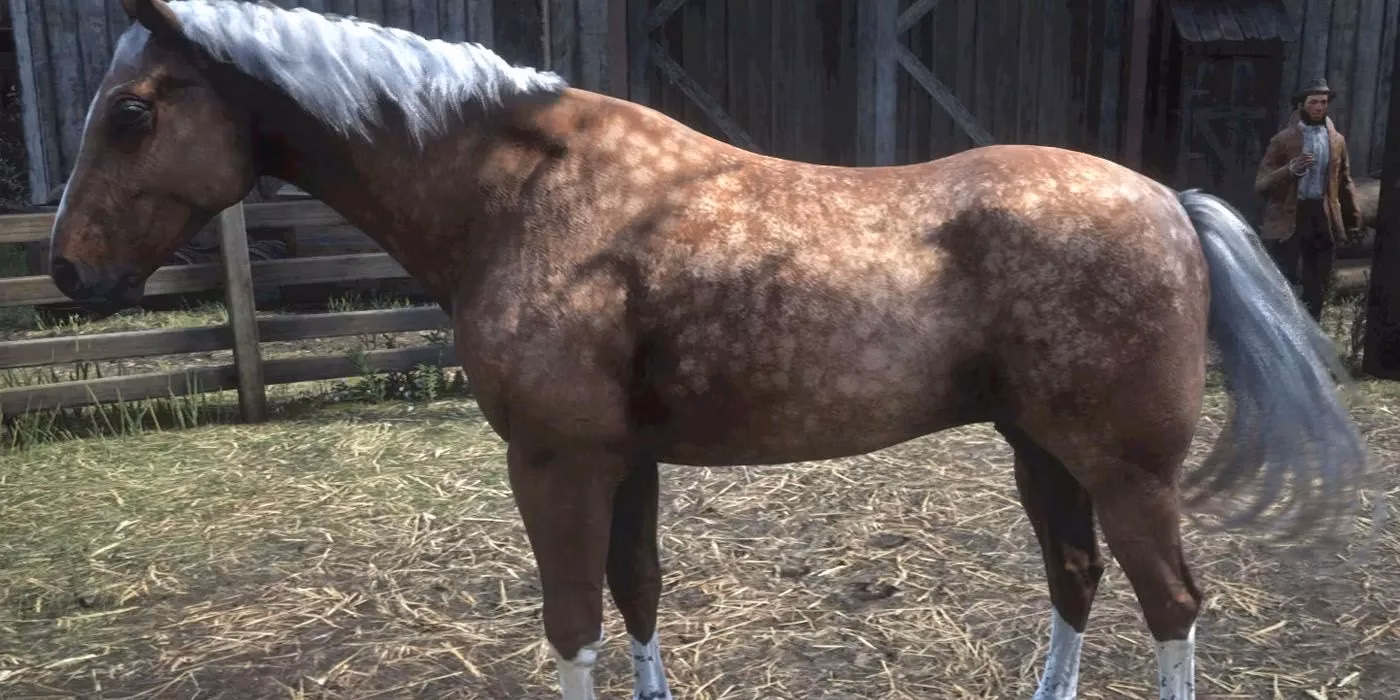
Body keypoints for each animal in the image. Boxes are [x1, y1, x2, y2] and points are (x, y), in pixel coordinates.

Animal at [51, 2, 1371, 698]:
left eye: (133, 113)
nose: (65, 270)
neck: (525, 197)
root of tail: (1165, 200)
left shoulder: (555, 464)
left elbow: (572, 618)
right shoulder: (622, 462)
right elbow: (635, 593)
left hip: (1124, 470)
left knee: (1169, 603)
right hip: (1040, 451)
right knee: (1075, 580)